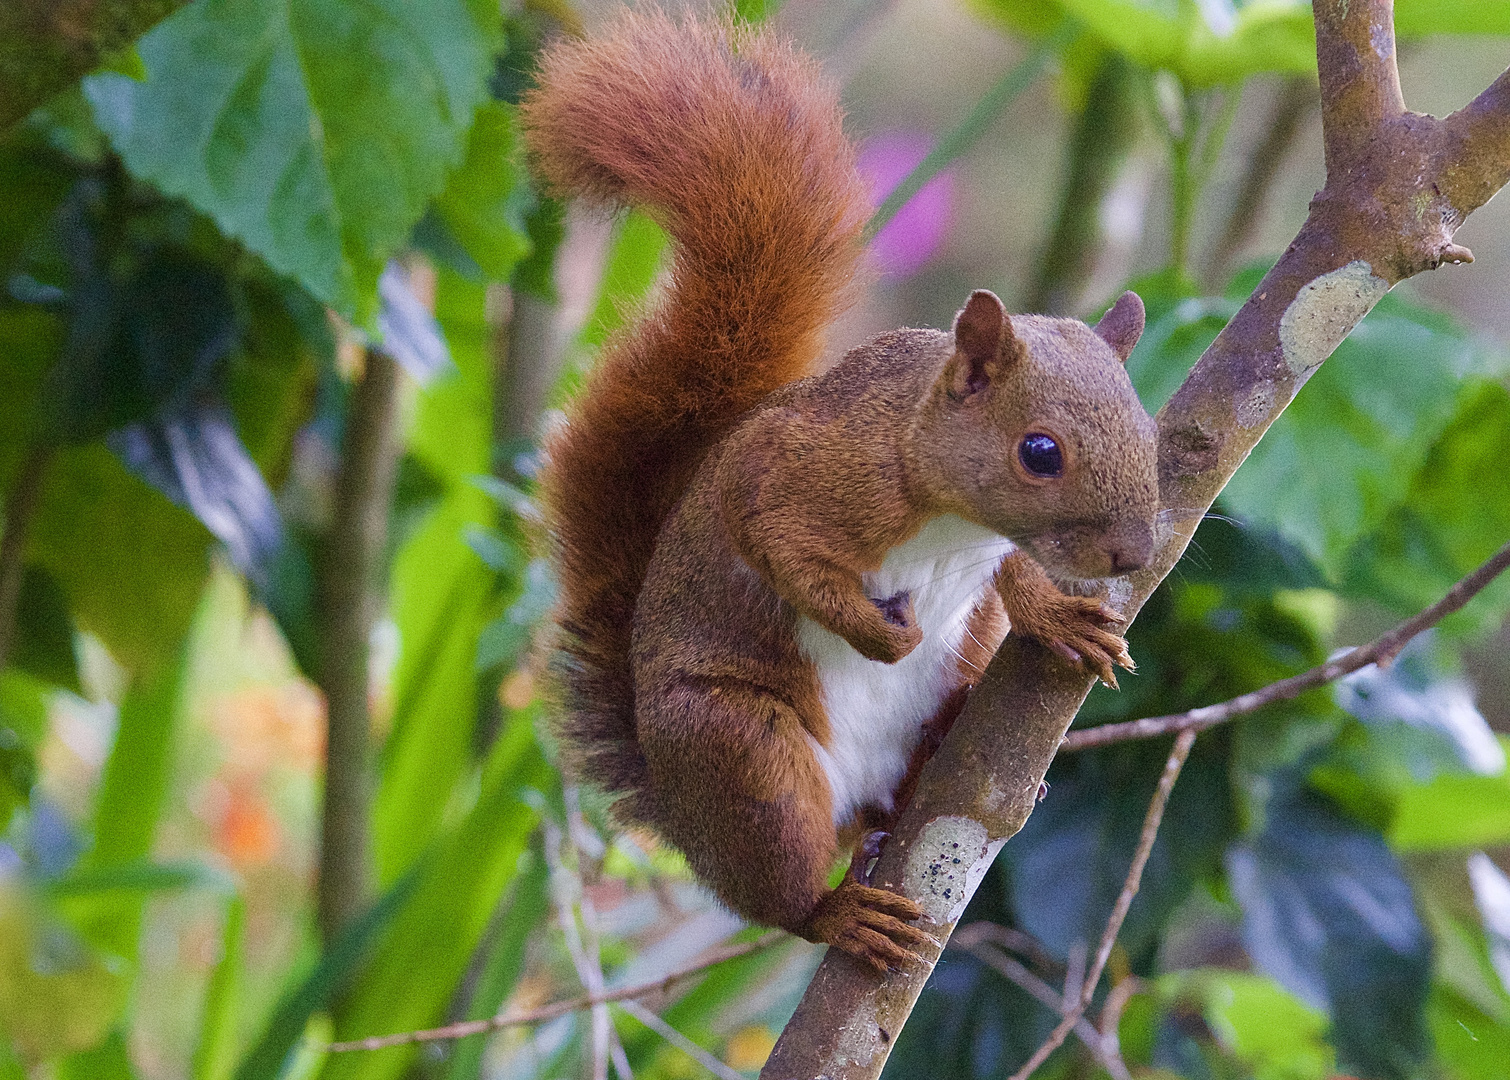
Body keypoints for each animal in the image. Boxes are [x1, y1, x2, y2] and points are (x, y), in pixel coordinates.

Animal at [525, 10, 1159, 972]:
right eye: (1040, 452)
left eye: (1150, 432)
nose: (1132, 554)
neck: (951, 514)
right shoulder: (798, 478)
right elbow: (782, 550)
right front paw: (884, 635)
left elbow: (1013, 577)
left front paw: (1057, 614)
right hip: (742, 755)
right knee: (779, 889)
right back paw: (838, 915)